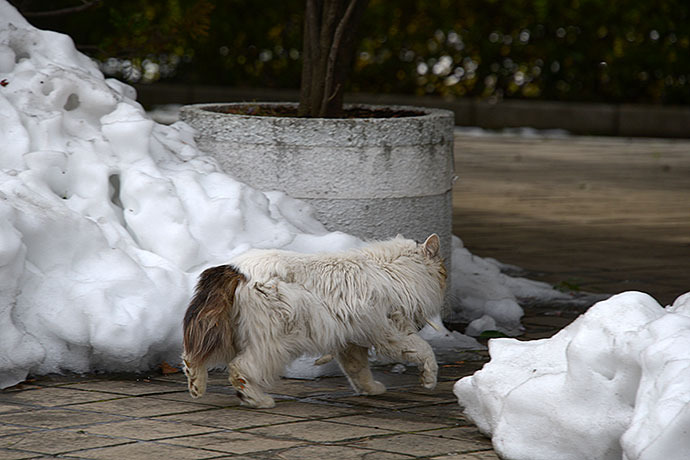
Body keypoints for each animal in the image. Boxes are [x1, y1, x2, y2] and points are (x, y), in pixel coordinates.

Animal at [180, 235, 444, 408]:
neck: (392, 271)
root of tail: (235, 268)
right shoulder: (390, 332)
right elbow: (425, 351)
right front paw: (429, 380)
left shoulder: (350, 340)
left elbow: (358, 371)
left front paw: (370, 389)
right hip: (272, 343)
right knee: (240, 368)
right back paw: (259, 400)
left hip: (225, 333)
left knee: (192, 358)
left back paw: (196, 387)